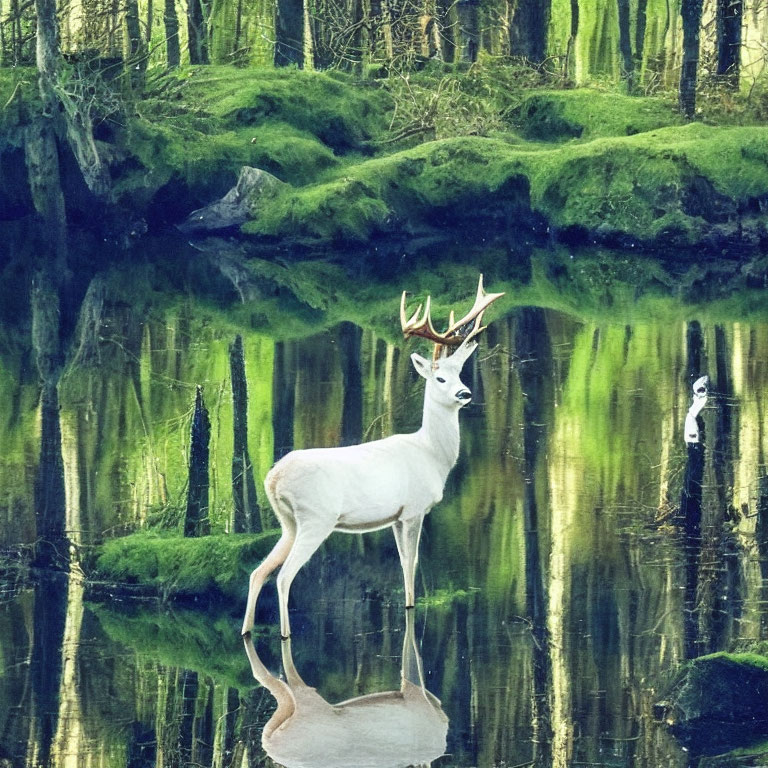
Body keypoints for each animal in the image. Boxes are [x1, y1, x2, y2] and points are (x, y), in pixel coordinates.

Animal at [242, 276, 504, 636]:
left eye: (460, 373)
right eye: (440, 378)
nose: (465, 393)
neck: (432, 455)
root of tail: (273, 478)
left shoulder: (396, 516)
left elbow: (404, 561)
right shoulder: (415, 509)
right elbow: (412, 562)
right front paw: (411, 606)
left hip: (288, 522)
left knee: (258, 571)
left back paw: (247, 630)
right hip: (315, 517)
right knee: (283, 576)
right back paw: (285, 633)